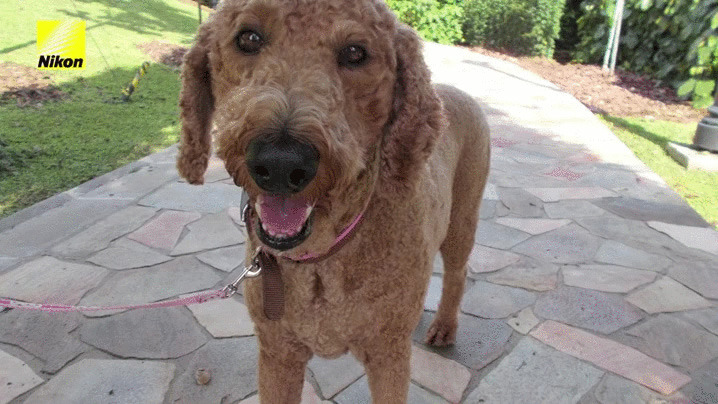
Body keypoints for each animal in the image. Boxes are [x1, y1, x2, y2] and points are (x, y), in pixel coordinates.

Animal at [178, 0, 492, 400]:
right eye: (248, 38)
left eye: (356, 52)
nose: (280, 163)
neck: (320, 258)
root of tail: (457, 91)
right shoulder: (278, 353)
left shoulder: (389, 355)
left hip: (462, 220)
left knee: (457, 271)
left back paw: (444, 327)